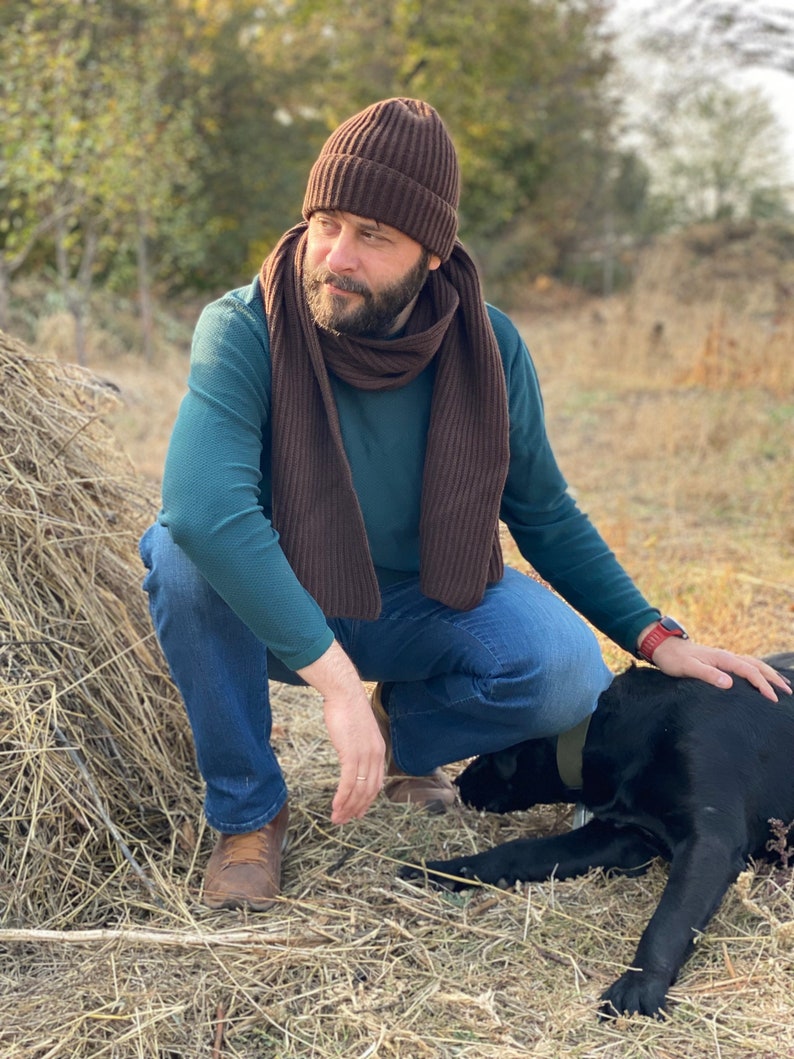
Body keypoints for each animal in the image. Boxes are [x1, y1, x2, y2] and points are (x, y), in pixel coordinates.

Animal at [404, 652, 794, 1016]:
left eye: (489, 754)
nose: (459, 783)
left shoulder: (709, 843)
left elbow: (667, 921)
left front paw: (639, 985)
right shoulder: (623, 838)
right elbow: (516, 851)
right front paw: (443, 871)